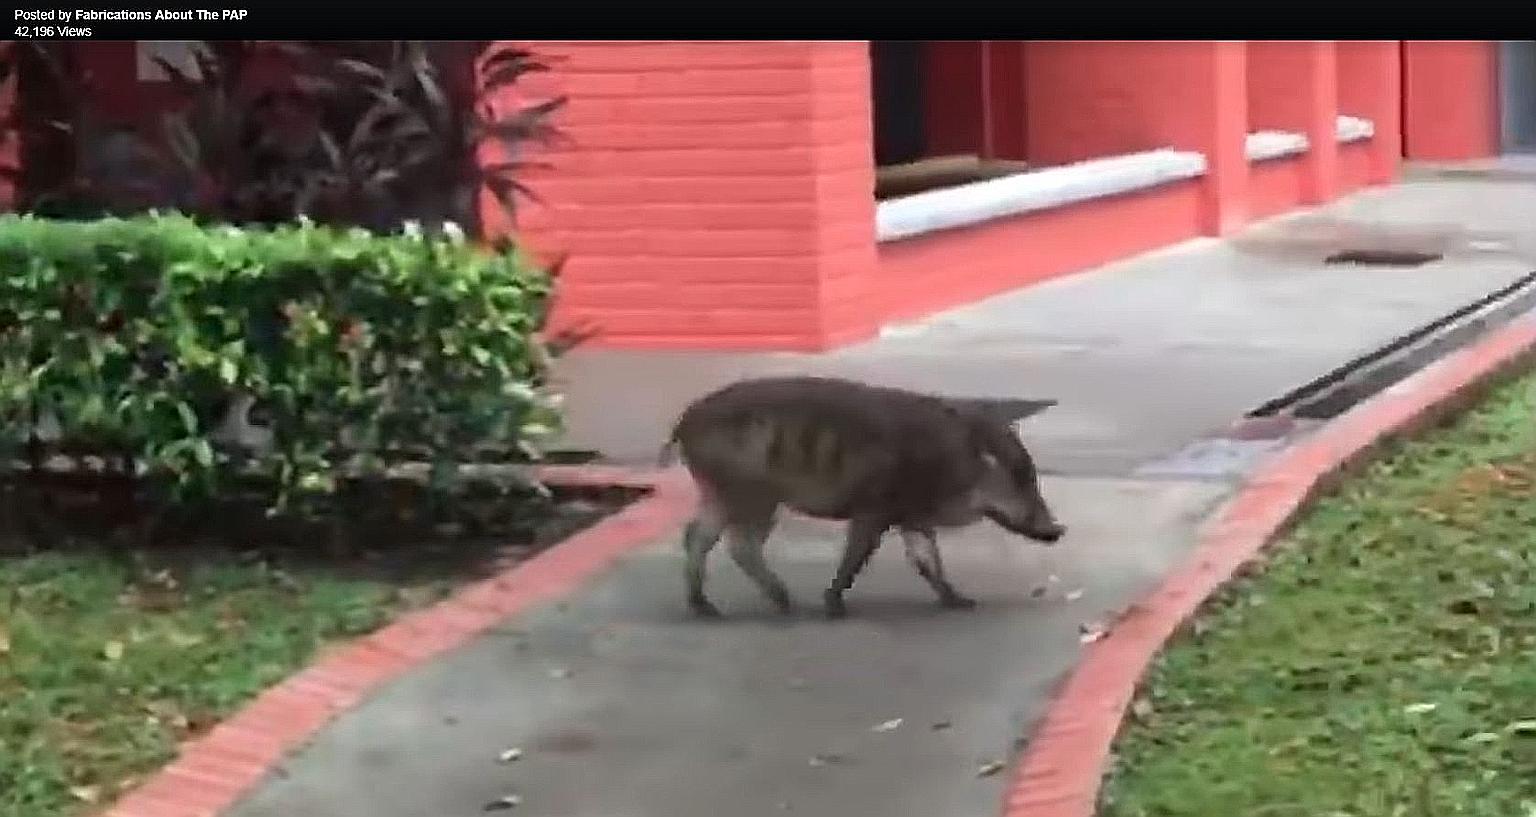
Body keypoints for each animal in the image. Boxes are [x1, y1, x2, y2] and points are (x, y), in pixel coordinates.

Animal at [660, 375, 1064, 619]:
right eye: (1017, 479)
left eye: (1032, 476)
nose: (1057, 529)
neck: (944, 462)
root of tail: (682, 423)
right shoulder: (873, 507)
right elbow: (858, 553)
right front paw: (834, 606)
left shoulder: (912, 516)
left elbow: (926, 559)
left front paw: (963, 602)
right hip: (751, 493)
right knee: (739, 543)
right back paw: (787, 603)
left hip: (718, 492)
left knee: (697, 535)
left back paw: (707, 608)